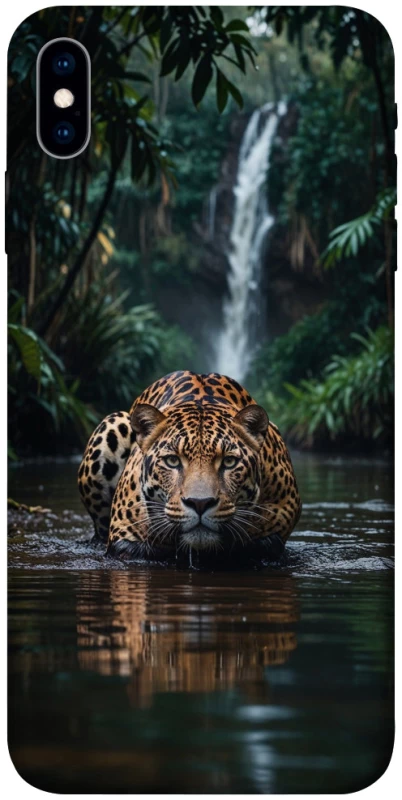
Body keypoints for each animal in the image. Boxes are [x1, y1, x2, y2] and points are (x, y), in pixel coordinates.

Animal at [78, 370, 301, 565]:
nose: (199, 503)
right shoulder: (123, 540)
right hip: (113, 422)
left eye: (229, 462)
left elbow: (265, 544)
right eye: (172, 461)